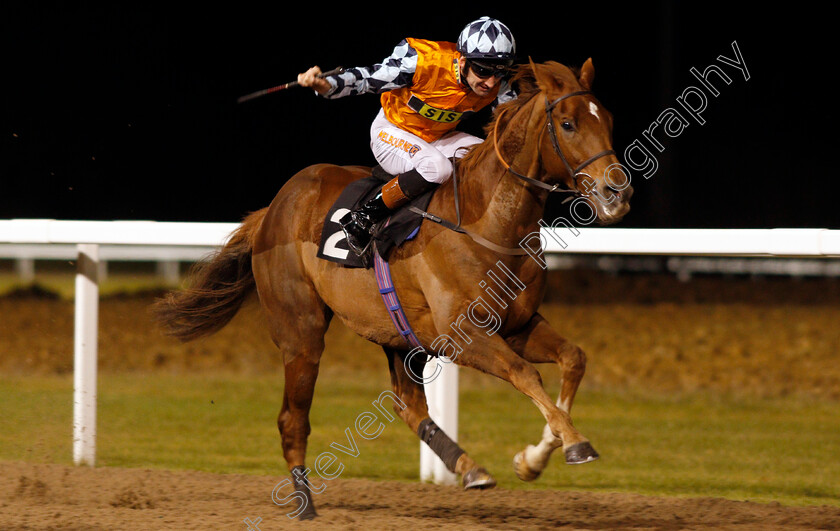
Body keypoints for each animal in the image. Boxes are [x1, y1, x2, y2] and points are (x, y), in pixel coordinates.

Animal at [154, 59, 632, 520]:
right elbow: (525, 374)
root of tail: (272, 209)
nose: (617, 192)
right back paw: (304, 504)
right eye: (567, 124)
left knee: (409, 405)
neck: (488, 222)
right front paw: (574, 445)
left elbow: (574, 358)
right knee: (293, 418)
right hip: (300, 333)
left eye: (607, 118)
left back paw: (469, 468)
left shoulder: (517, 325)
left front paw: (534, 458)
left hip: (400, 337)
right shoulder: (464, 335)